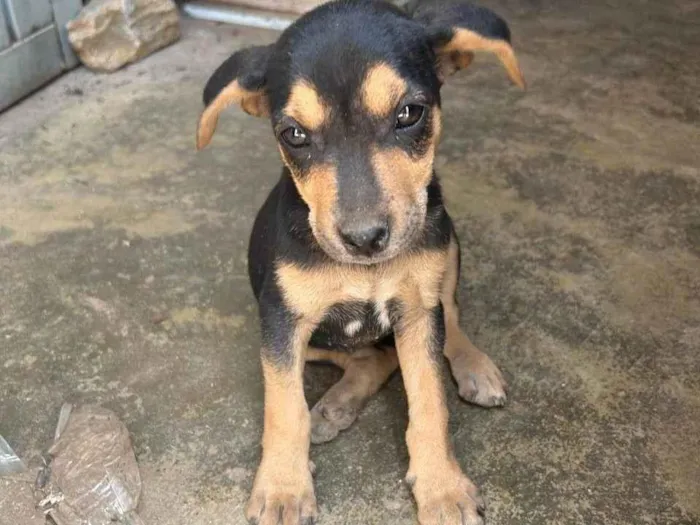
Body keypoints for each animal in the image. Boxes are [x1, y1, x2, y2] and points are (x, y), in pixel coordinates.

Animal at [194, 2, 524, 520]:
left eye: (409, 113)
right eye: (294, 134)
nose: (364, 239)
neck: (365, 272)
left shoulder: (417, 310)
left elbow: (430, 401)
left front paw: (443, 488)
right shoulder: (281, 319)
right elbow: (283, 408)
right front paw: (283, 489)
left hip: (444, 240)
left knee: (446, 316)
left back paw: (471, 365)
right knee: (371, 358)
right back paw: (335, 407)